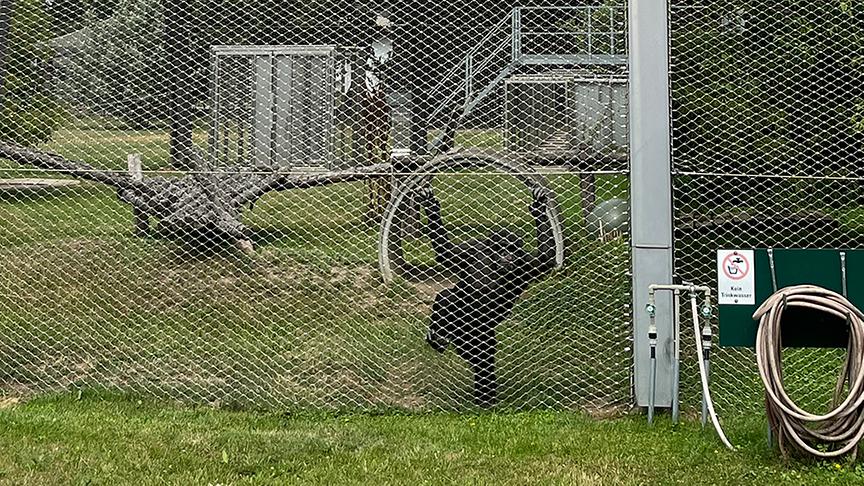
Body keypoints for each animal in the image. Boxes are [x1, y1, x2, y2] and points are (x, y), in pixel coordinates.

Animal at [416, 186, 552, 406]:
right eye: (502, 247)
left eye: (512, 248)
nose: (508, 255)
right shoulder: (470, 250)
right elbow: (447, 253)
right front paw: (430, 206)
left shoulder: (526, 263)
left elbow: (545, 259)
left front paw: (539, 210)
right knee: (448, 296)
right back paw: (438, 338)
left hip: (481, 334)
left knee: (484, 357)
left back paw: (486, 396)